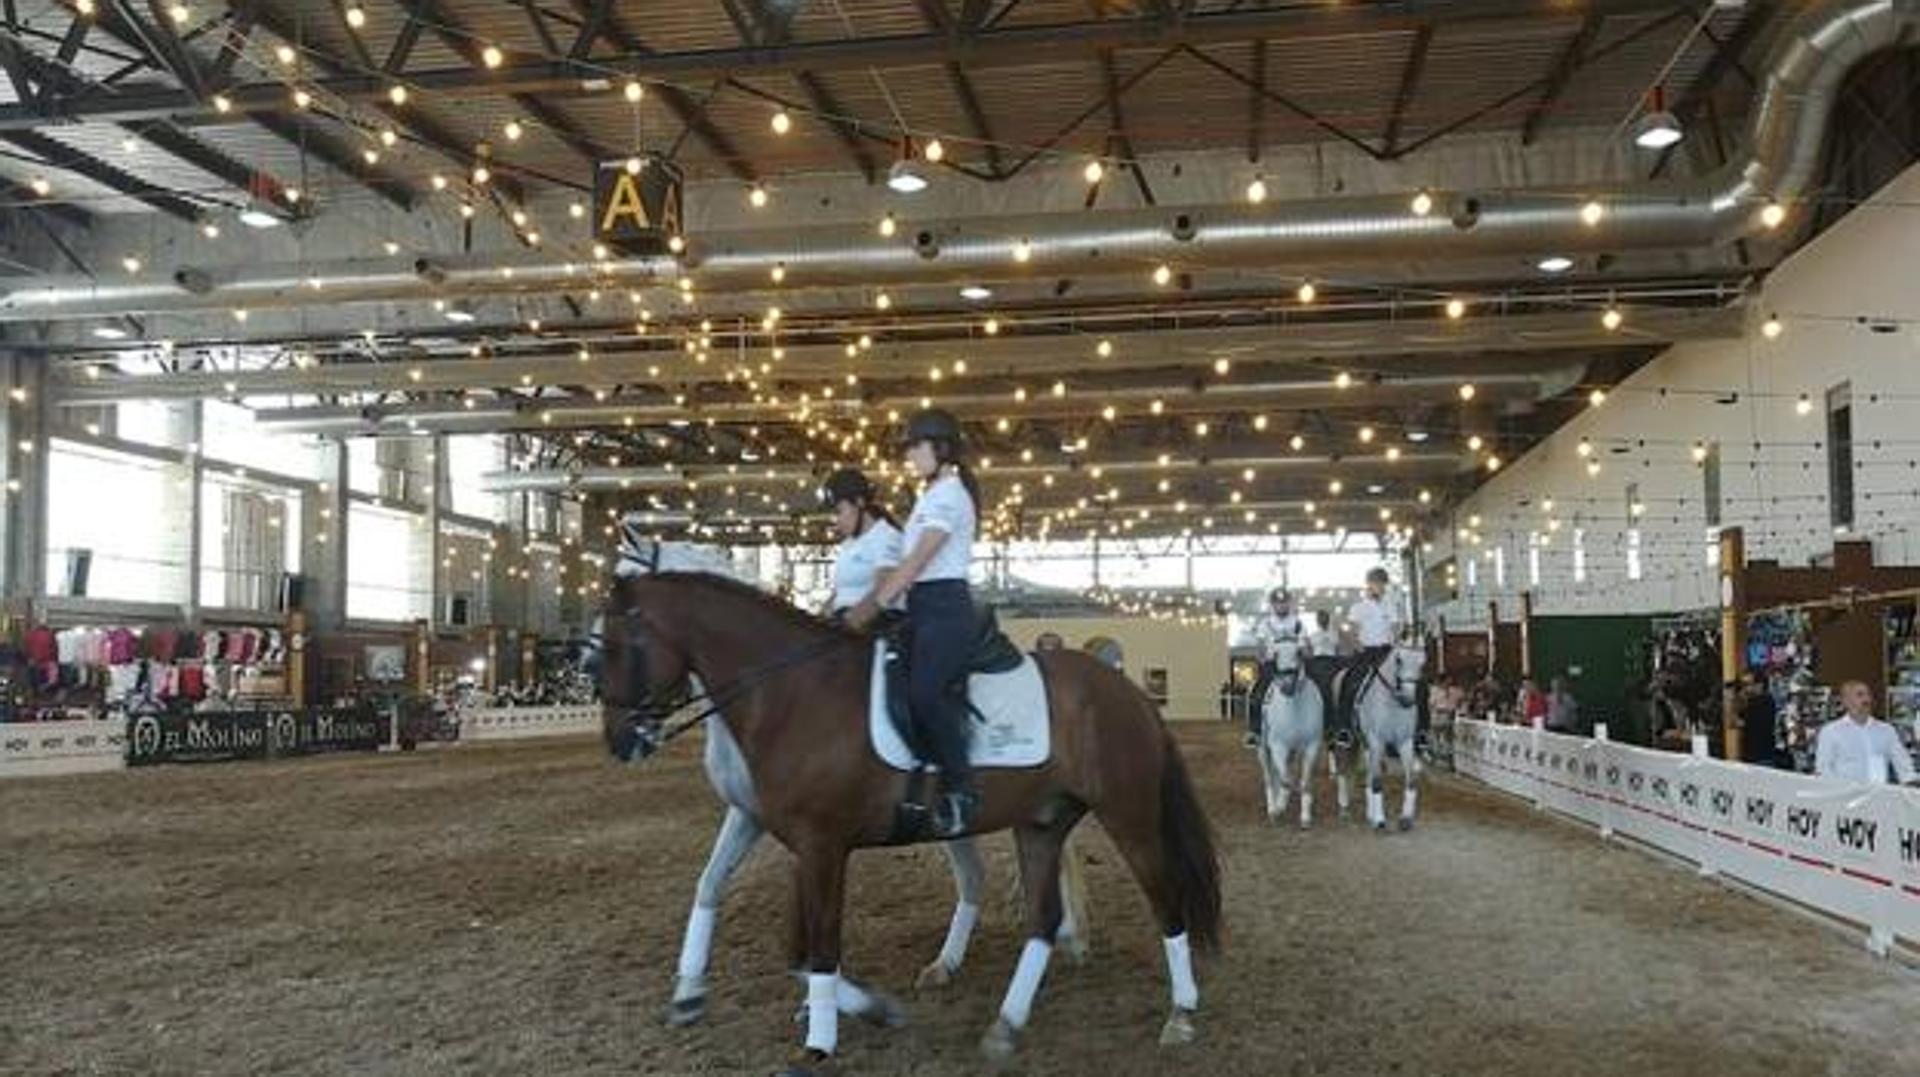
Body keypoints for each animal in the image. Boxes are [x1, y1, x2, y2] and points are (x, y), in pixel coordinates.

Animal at [599, 568, 1221, 1067]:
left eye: (616, 647)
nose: (619, 742)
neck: (793, 693)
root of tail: (1128, 692)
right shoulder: (783, 833)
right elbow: (778, 934)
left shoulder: (823, 843)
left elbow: (821, 943)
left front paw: (824, 1038)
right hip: (1042, 822)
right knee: (1041, 917)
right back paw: (1005, 1023)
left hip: (1129, 815)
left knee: (1166, 902)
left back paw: (1182, 1014)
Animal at [1251, 641, 1328, 825]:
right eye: (1275, 655)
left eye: (1299, 653)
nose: (1287, 686)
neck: (1294, 709)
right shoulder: (1278, 746)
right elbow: (1286, 779)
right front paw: (1279, 807)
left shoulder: (1311, 746)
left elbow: (1304, 780)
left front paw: (1305, 816)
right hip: (1262, 749)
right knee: (1269, 777)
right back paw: (1273, 808)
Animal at [1351, 641, 1428, 825]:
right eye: (1399, 660)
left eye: (1423, 663)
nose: (1407, 700)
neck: (1393, 704)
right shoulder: (1377, 741)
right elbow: (1377, 781)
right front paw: (1380, 820)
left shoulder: (1405, 742)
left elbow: (1411, 780)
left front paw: (1406, 818)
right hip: (1365, 742)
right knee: (1371, 775)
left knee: (1370, 775)